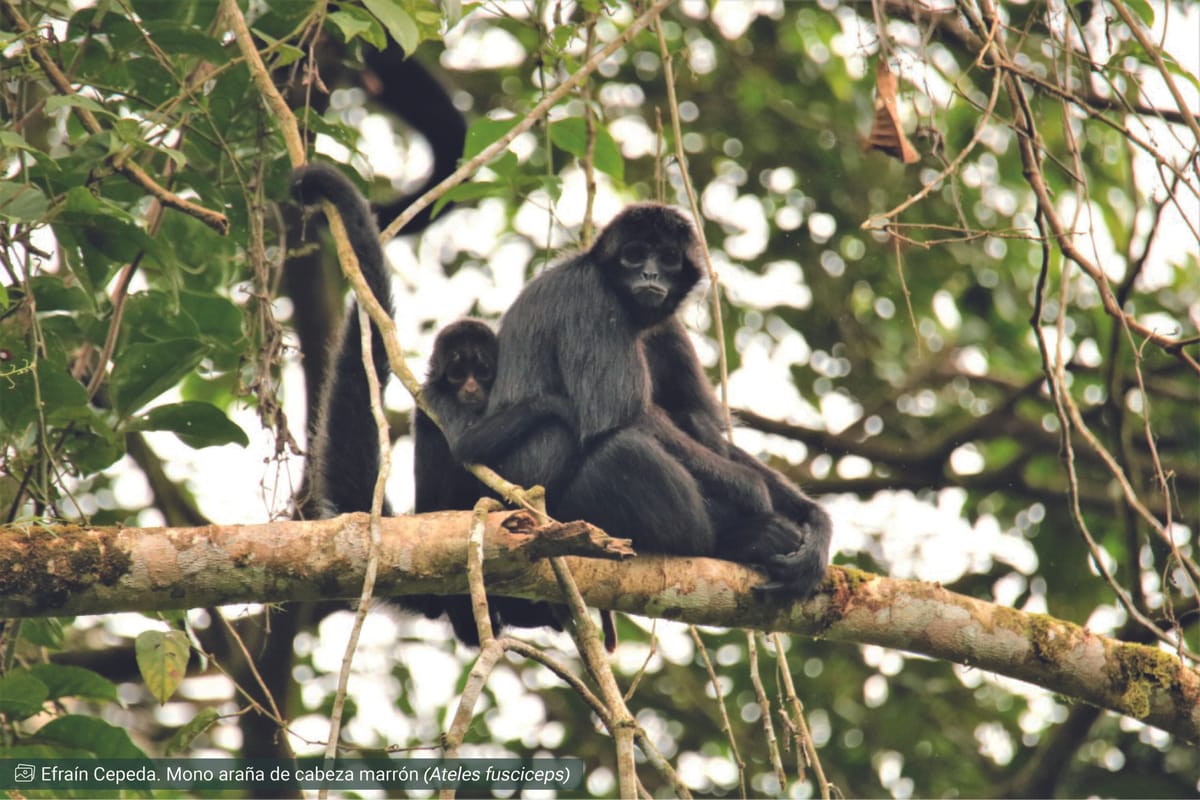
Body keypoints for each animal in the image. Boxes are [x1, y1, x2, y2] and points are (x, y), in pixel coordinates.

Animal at [453, 206, 830, 594]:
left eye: (668, 258)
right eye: (634, 254)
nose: (650, 273)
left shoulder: (666, 327)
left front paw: (816, 522)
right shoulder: (589, 294)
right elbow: (616, 417)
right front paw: (751, 488)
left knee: (692, 420)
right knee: (625, 451)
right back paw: (739, 538)